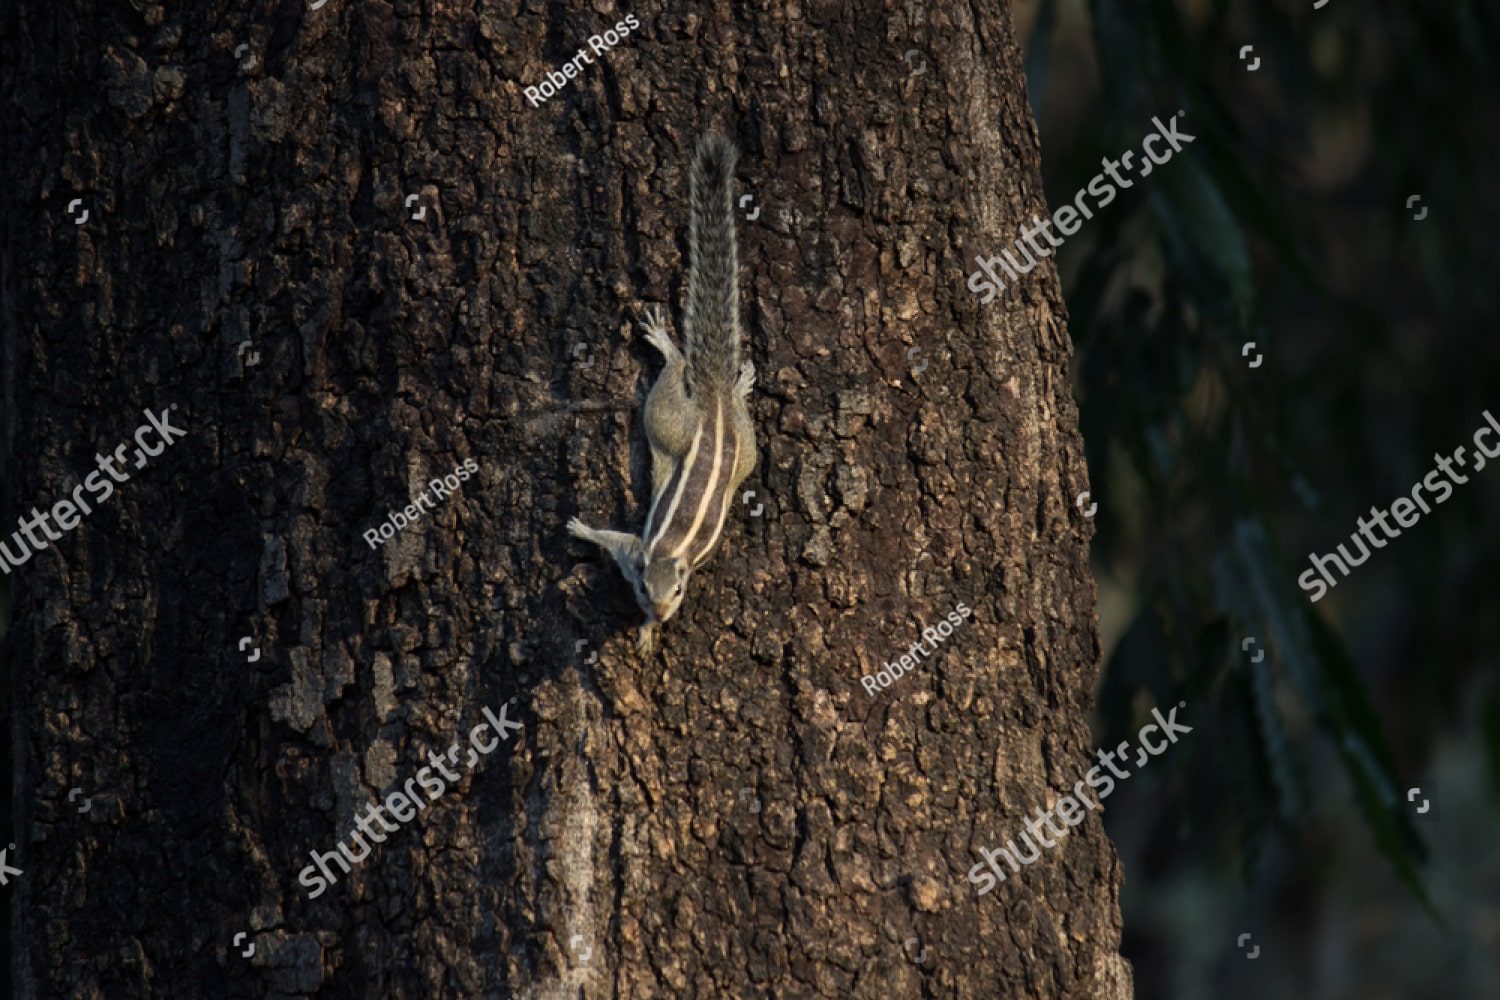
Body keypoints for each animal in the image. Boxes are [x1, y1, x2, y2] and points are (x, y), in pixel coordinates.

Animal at [568, 133, 757, 653]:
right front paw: (584, 528)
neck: (669, 553)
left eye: (678, 591)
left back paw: (704, 366)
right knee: (701, 388)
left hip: (703, 434)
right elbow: (614, 541)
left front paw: (650, 631)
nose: (661, 610)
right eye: (639, 587)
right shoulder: (635, 552)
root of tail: (714, 404)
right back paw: (709, 368)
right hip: (706, 431)